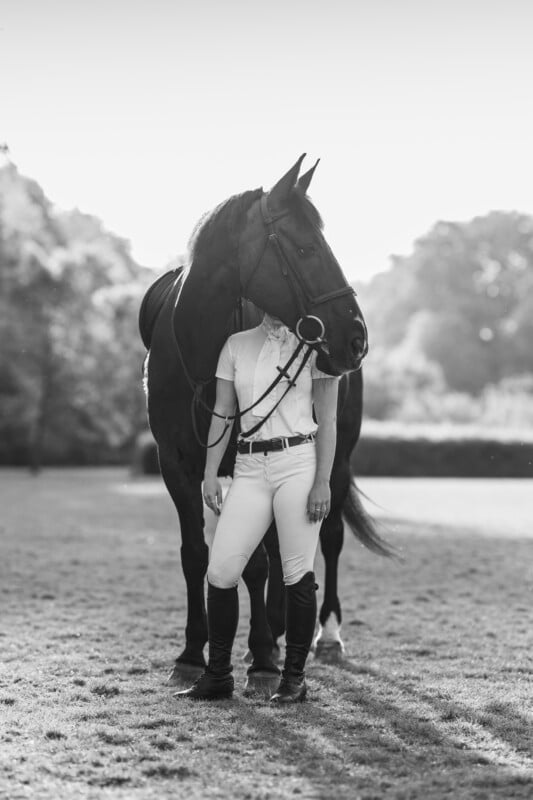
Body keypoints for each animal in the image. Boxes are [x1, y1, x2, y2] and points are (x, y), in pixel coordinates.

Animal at [140, 155, 385, 692]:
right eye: (306, 247)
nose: (356, 337)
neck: (199, 347)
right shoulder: (176, 465)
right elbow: (198, 553)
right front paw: (193, 652)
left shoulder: (243, 459)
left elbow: (254, 562)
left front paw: (262, 655)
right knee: (278, 546)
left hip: (335, 458)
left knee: (328, 536)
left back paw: (319, 635)